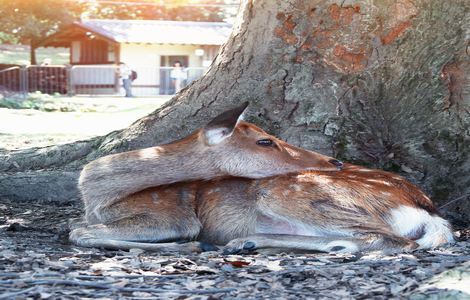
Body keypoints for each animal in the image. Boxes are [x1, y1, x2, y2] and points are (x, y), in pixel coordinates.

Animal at [70, 102, 456, 253]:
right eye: (265, 140)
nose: (333, 160)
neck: (98, 198)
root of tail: (429, 210)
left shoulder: (169, 213)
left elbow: (78, 233)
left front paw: (189, 244)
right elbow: (78, 228)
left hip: (285, 193)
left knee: (389, 240)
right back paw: (246, 242)